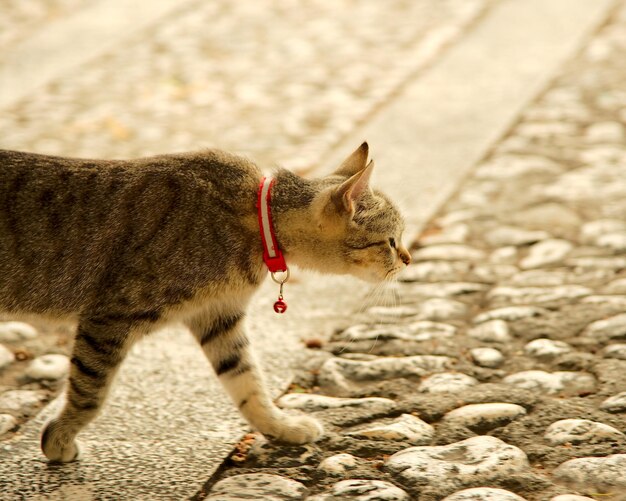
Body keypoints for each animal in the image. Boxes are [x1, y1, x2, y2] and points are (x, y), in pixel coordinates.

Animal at [0, 141, 410, 460]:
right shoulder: (108, 318)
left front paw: (280, 427)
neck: (257, 223)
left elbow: (248, 384)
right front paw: (60, 438)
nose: (408, 259)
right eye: (391, 241)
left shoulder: (219, 317)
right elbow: (90, 392)